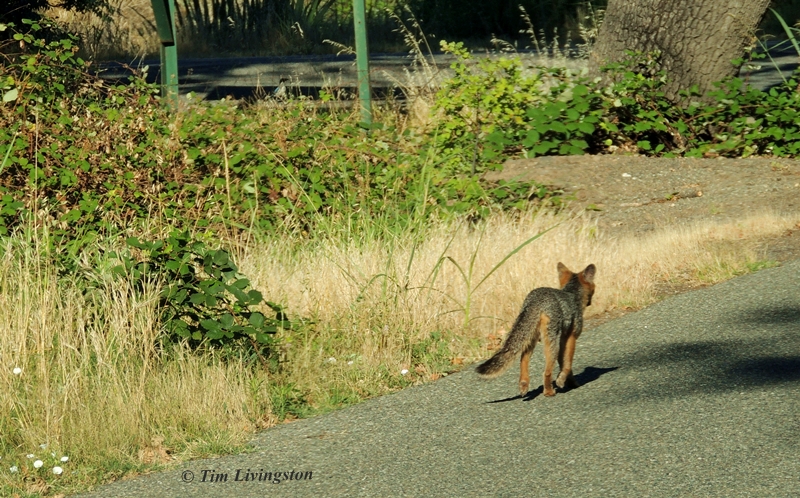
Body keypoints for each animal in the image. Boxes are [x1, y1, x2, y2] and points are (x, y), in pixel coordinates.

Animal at [476, 262, 596, 397]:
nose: (590, 303)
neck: (572, 295)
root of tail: (537, 300)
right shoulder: (571, 336)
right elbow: (567, 364)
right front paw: (563, 381)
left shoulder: (563, 337)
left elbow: (563, 362)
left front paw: (570, 382)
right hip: (550, 341)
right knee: (546, 371)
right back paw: (548, 391)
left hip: (531, 337)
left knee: (523, 359)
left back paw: (524, 385)